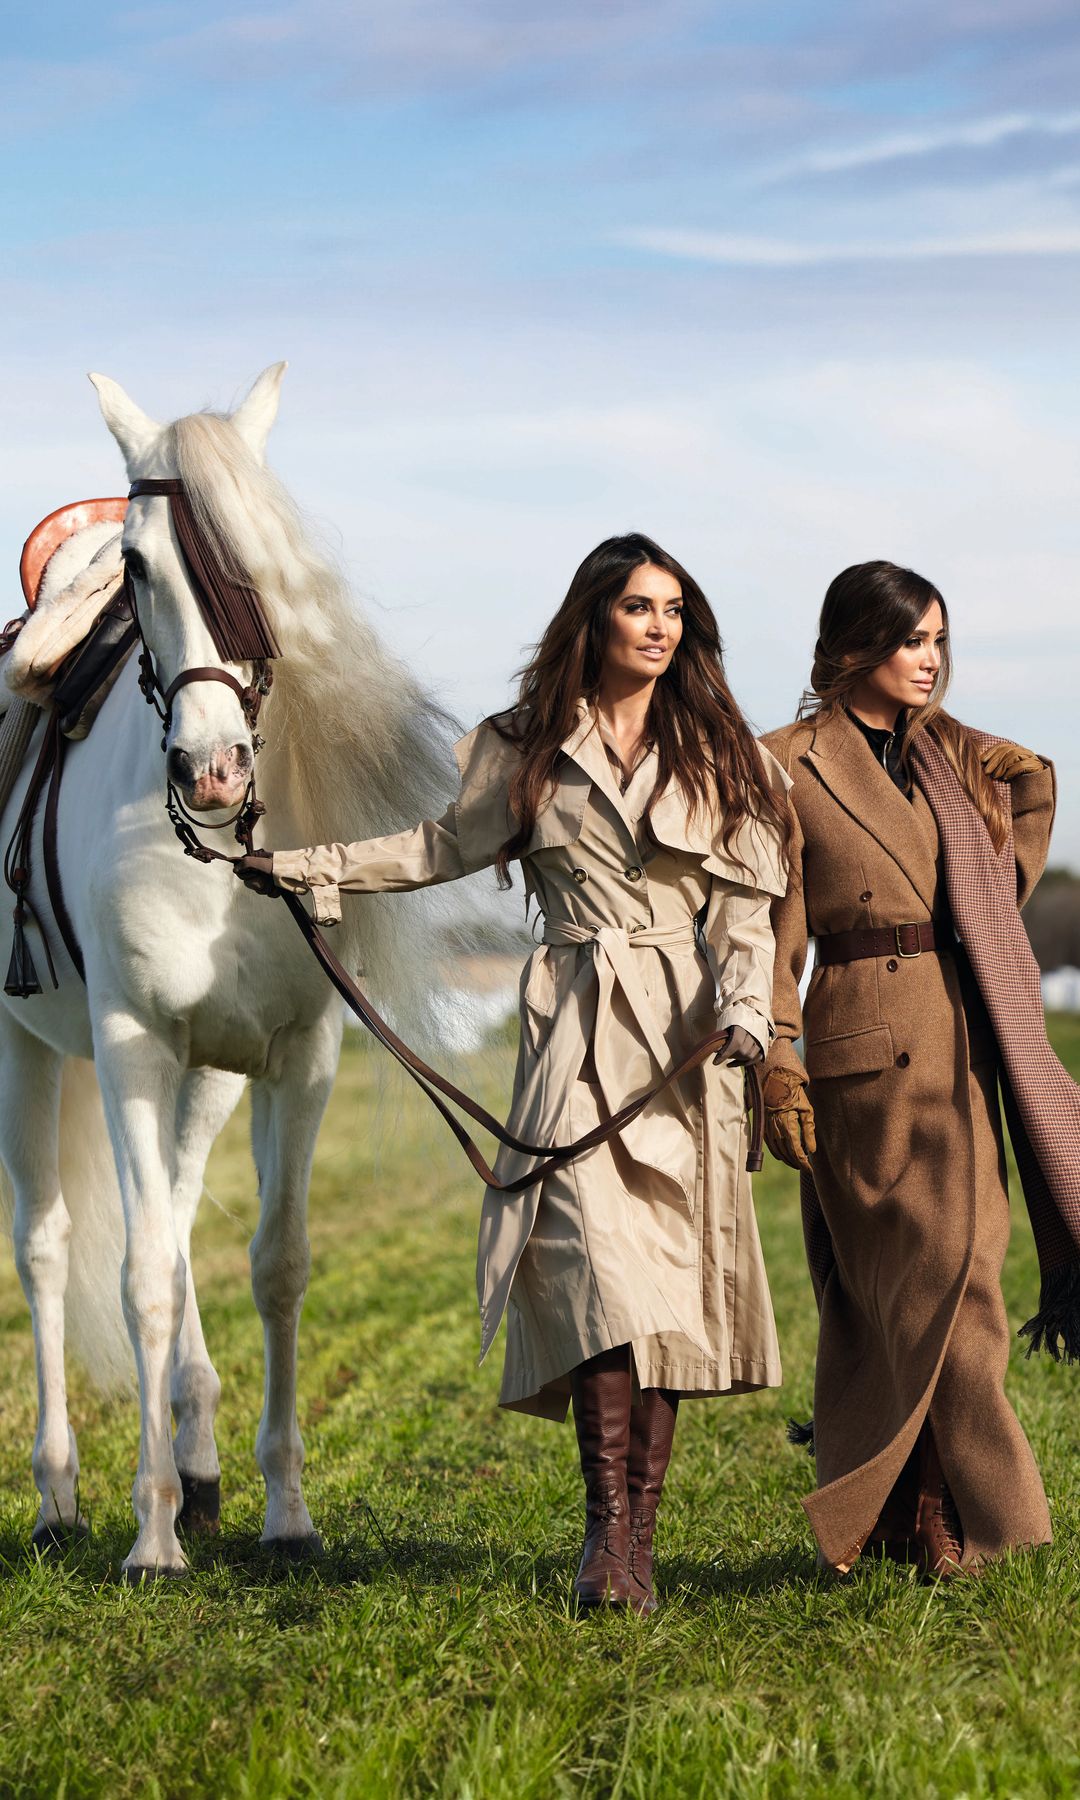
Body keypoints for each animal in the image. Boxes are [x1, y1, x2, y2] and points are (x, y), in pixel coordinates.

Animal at [0, 365, 451, 1576]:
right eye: (139, 567)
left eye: (259, 561)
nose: (212, 768)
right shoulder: (130, 1049)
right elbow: (144, 1277)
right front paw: (152, 1534)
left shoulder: (300, 1057)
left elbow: (275, 1263)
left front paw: (283, 1512)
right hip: (30, 1053)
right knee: (51, 1249)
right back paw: (62, 1497)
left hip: (203, 1077)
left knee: (180, 1210)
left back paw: (200, 1462)